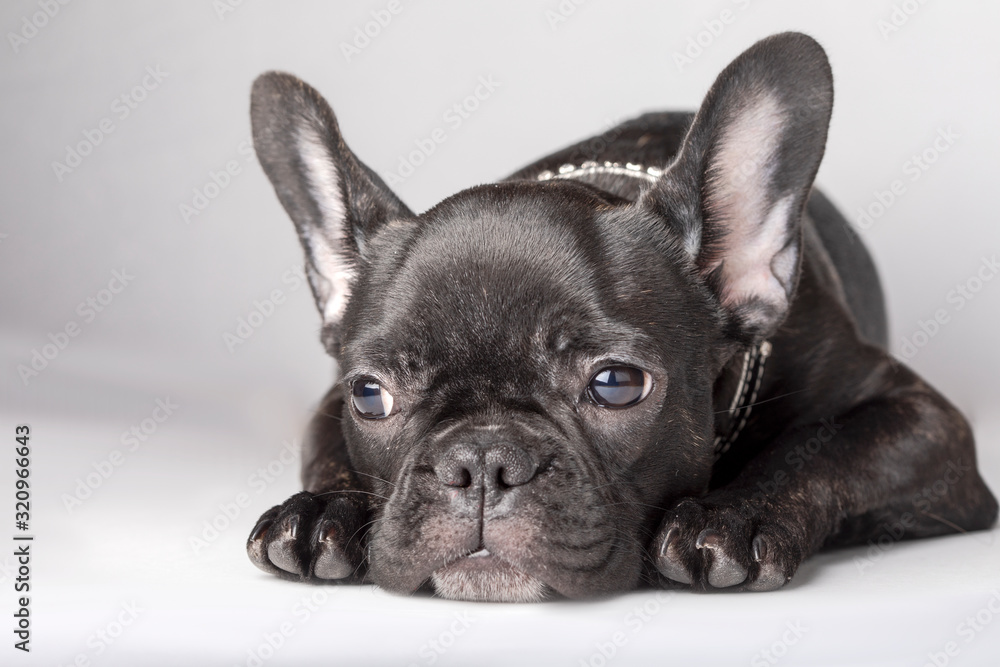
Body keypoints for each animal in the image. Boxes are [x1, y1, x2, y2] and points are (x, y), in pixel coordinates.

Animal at [246, 34, 996, 604]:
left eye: (616, 384)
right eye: (370, 396)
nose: (480, 460)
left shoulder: (923, 422)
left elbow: (819, 449)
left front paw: (731, 513)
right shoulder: (327, 405)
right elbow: (331, 455)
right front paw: (322, 511)